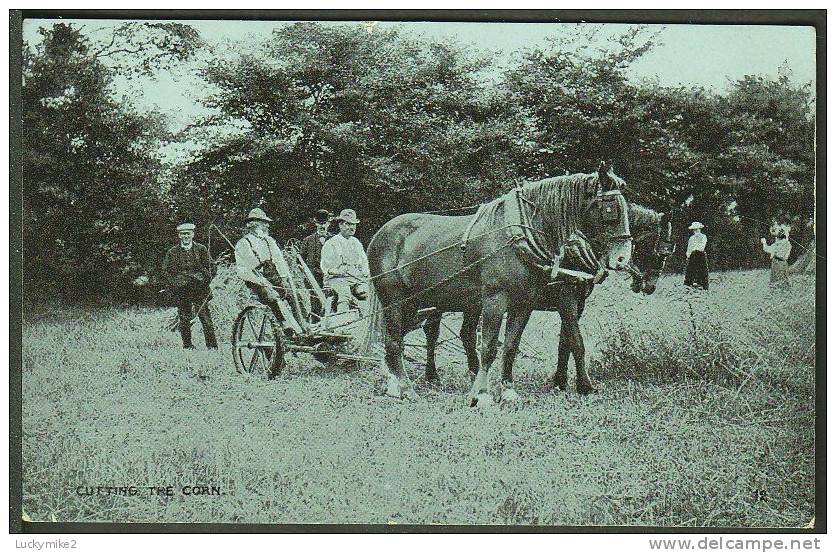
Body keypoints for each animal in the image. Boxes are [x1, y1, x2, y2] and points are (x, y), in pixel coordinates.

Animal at [366, 162, 632, 404]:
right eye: (610, 209)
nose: (622, 258)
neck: (519, 238)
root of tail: (380, 233)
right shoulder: (497, 300)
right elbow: (490, 347)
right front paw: (482, 394)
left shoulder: (524, 304)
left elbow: (511, 346)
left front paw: (508, 390)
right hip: (396, 300)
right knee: (394, 341)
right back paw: (406, 388)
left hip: (419, 303)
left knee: (398, 339)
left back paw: (396, 384)